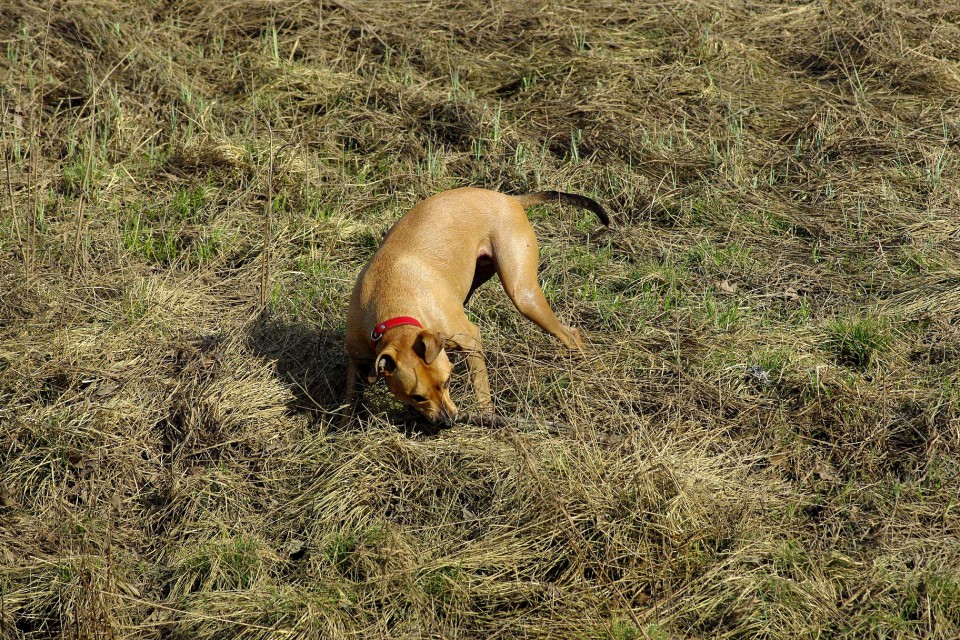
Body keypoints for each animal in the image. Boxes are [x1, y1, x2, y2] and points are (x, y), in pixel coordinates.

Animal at [340, 185, 608, 428]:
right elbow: (349, 403)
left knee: (570, 334)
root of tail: (509, 198)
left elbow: (481, 388)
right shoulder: (357, 362)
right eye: (417, 397)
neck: (394, 311)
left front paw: (487, 417)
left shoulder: (470, 339)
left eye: (447, 383)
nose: (448, 422)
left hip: (523, 294)